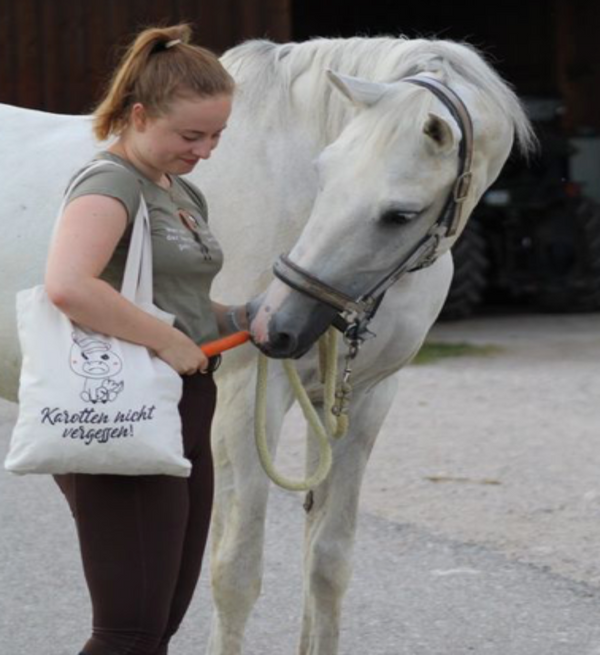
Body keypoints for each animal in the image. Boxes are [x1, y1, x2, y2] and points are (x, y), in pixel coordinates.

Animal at [0, 37, 536, 655]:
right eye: (323, 175)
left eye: (399, 214)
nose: (278, 324)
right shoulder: (243, 401)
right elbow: (235, 573)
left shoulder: (364, 401)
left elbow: (327, 563)